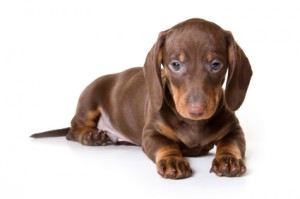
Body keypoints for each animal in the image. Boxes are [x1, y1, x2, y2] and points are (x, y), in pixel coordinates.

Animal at [31, 18, 251, 180]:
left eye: (216, 65)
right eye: (175, 65)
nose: (196, 111)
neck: (193, 124)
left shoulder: (234, 130)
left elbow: (230, 143)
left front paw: (228, 160)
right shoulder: (151, 133)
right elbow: (166, 145)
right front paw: (173, 161)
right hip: (89, 100)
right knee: (72, 130)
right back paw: (91, 136)